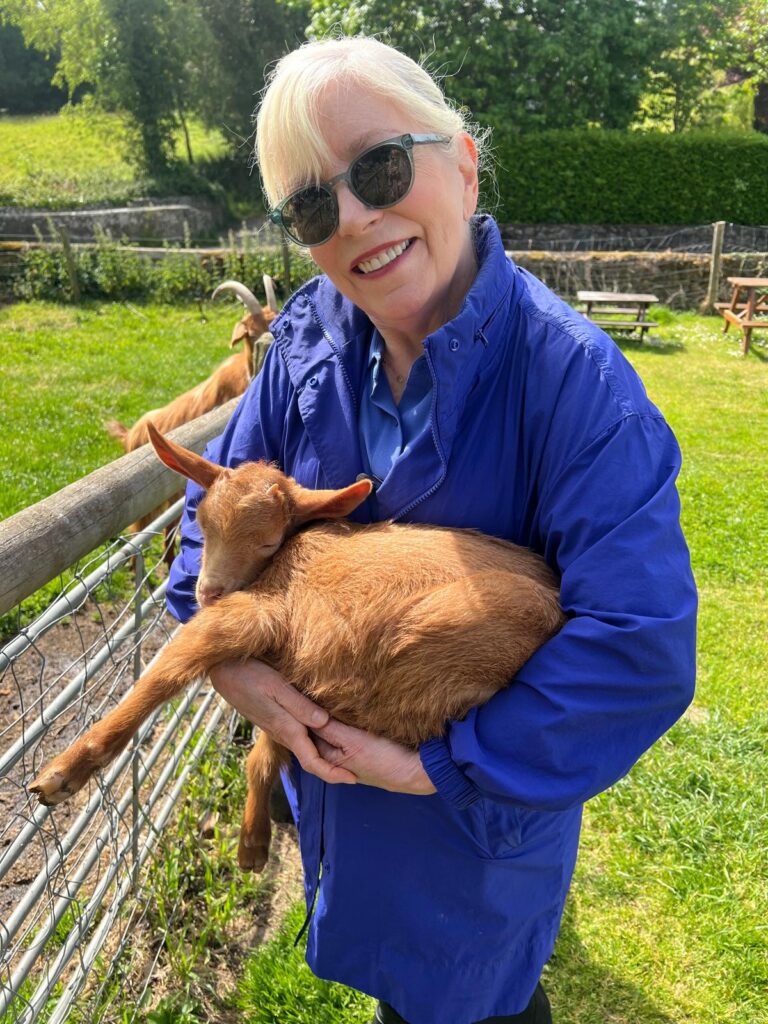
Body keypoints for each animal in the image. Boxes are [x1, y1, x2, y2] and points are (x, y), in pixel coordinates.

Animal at [30, 426, 565, 873]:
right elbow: (267, 746)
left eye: (268, 541)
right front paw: (252, 843)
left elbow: (166, 673)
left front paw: (63, 773)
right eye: (200, 520)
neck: (290, 555)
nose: (207, 592)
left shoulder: (261, 614)